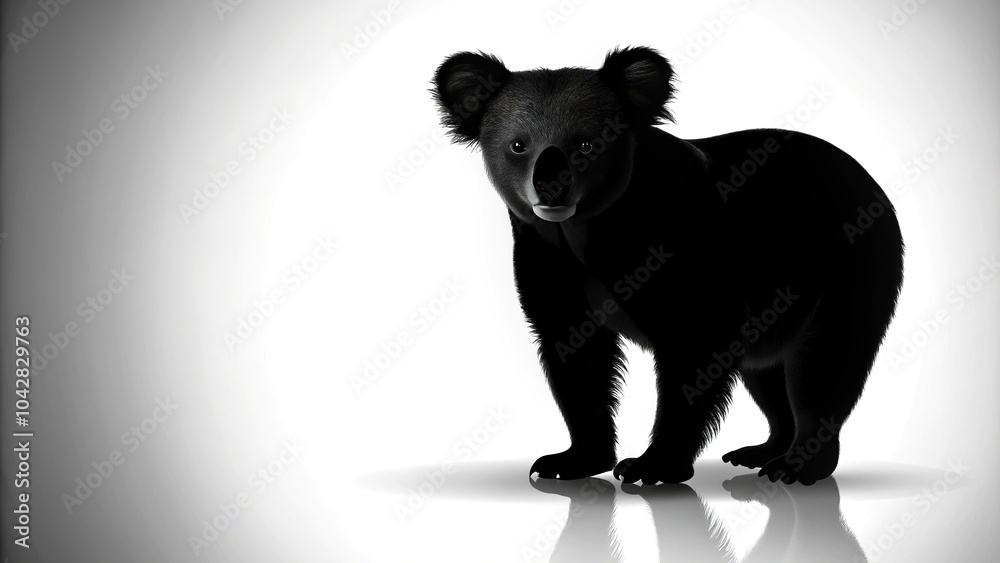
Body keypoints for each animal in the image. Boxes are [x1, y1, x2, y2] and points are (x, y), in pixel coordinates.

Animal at [431, 46, 904, 485]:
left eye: (587, 143)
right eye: (518, 145)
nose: (551, 186)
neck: (587, 235)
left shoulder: (688, 266)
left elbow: (694, 351)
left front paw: (651, 466)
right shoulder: (546, 266)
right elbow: (578, 360)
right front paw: (573, 461)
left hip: (845, 271)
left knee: (821, 366)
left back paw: (797, 466)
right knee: (768, 376)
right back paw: (761, 450)